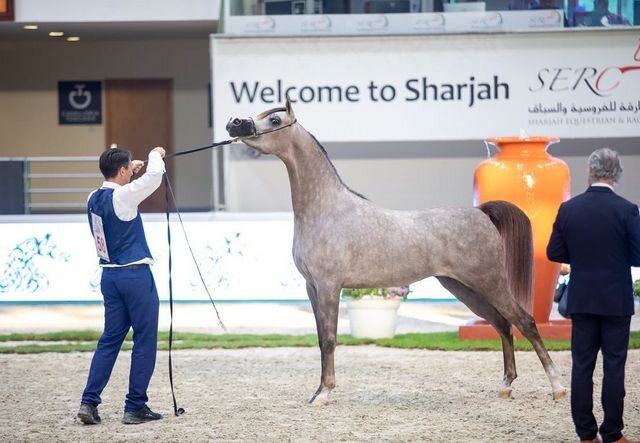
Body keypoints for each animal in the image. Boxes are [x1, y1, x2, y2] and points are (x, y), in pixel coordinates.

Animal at [226, 99, 567, 405]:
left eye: (274, 120)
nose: (234, 123)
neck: (326, 209)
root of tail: (481, 213)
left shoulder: (329, 286)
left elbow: (331, 340)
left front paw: (324, 394)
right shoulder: (313, 288)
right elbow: (322, 340)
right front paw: (318, 392)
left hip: (489, 282)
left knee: (525, 322)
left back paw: (557, 388)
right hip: (464, 288)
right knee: (503, 325)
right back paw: (506, 387)